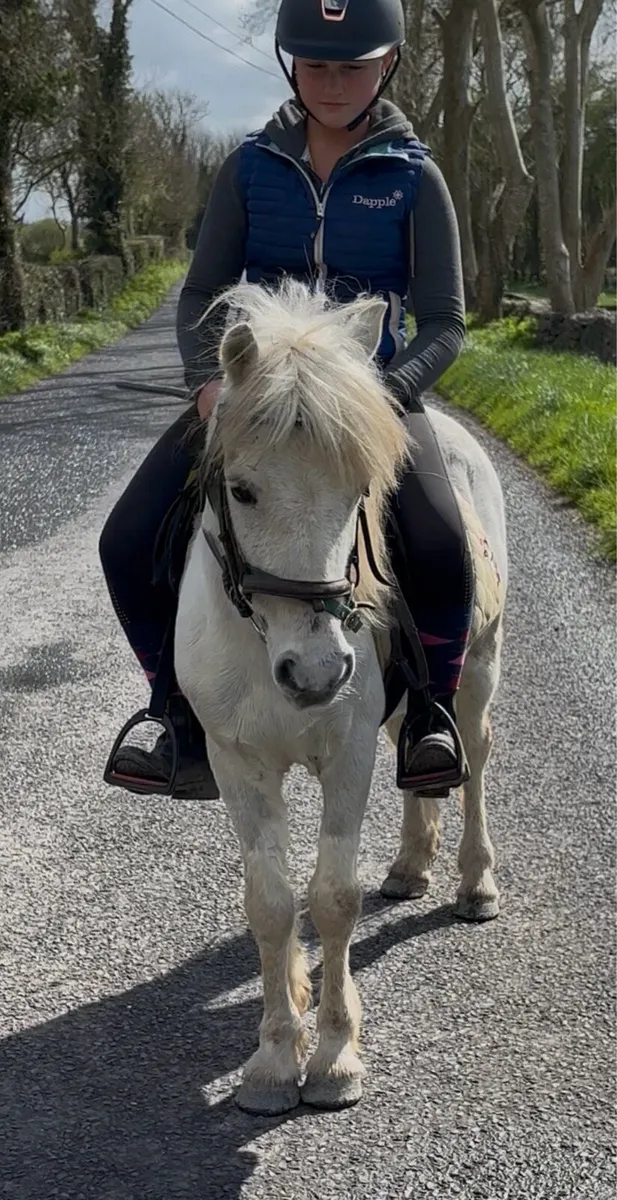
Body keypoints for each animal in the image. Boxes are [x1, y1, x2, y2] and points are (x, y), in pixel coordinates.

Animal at [174, 278, 507, 1116]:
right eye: (242, 490)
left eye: (362, 491)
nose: (318, 674)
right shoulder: (237, 762)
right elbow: (268, 903)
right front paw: (271, 1060)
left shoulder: (345, 753)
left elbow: (331, 898)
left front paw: (329, 1058)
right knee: (422, 750)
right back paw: (411, 864)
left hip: (479, 669)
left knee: (473, 756)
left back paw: (473, 880)